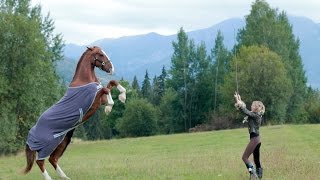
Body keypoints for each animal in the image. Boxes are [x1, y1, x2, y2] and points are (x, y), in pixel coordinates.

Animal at [21, 46, 125, 180]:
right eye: (100, 54)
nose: (112, 69)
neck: (84, 81)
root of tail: (31, 134)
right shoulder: (95, 99)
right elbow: (105, 89)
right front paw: (109, 108)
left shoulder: (100, 99)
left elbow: (111, 83)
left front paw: (122, 96)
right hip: (48, 145)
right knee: (40, 161)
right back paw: (50, 178)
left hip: (63, 141)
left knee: (52, 159)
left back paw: (65, 177)